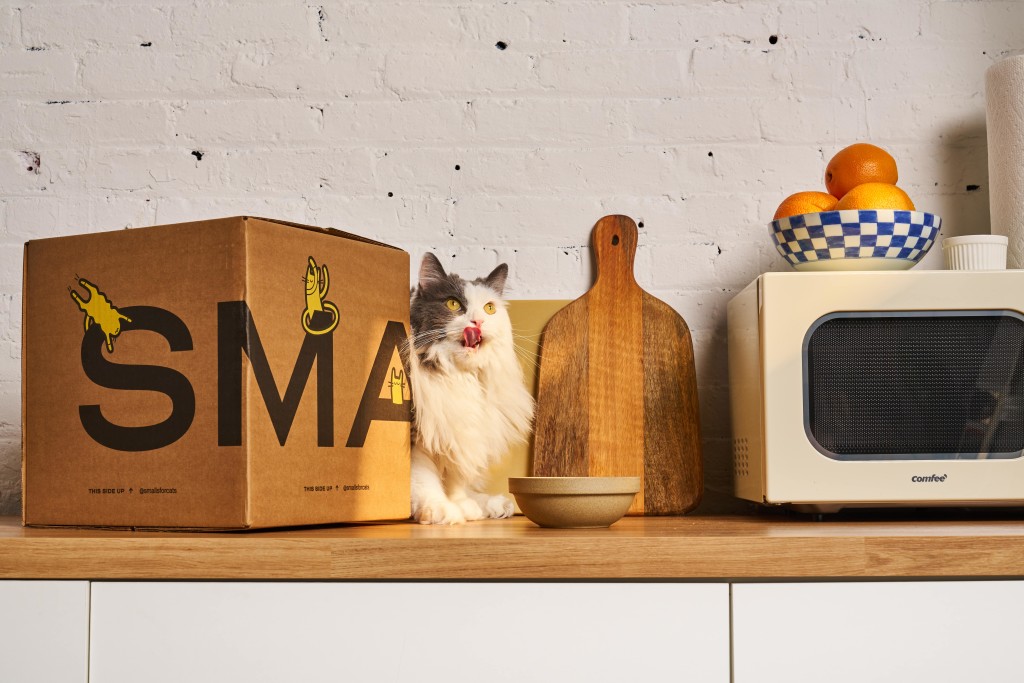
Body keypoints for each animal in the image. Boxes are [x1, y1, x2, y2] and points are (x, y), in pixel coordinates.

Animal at [401, 253, 532, 528]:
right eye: (453, 304)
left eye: (489, 308)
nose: (478, 321)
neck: (459, 376)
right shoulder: (419, 433)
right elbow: (422, 477)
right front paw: (440, 509)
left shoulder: (460, 431)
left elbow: (455, 479)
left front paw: (462, 505)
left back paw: (492, 505)